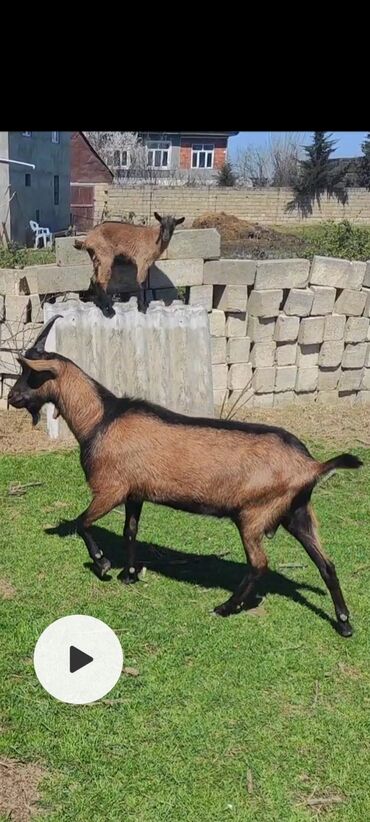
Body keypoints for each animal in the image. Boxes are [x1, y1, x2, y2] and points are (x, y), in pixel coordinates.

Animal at [7, 318, 362, 640]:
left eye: (32, 374)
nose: (12, 398)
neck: (100, 419)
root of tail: (311, 465)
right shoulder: (135, 492)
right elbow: (130, 531)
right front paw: (129, 574)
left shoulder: (111, 488)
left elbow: (83, 522)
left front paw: (103, 564)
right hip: (297, 513)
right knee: (326, 564)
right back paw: (344, 623)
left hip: (254, 514)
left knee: (260, 564)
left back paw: (226, 606)